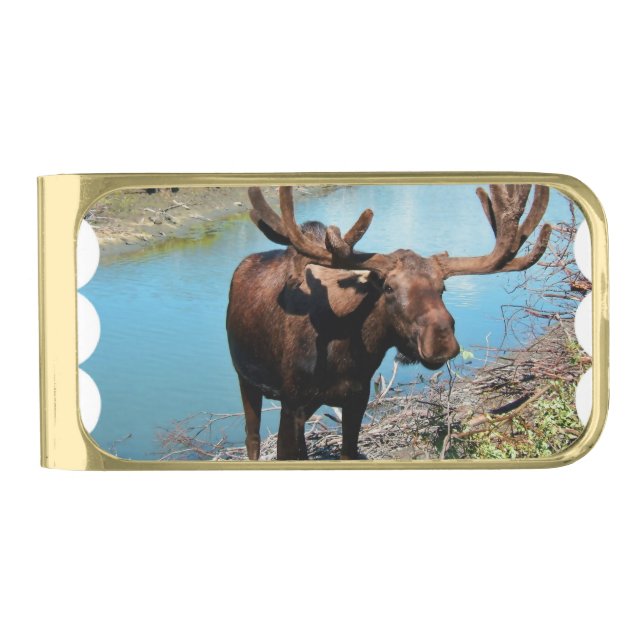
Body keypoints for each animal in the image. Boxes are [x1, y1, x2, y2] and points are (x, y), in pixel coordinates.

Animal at [226, 184, 551, 460]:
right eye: (389, 288)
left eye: (442, 288)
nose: (441, 339)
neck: (345, 351)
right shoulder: (291, 402)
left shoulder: (357, 397)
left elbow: (347, 453)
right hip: (246, 379)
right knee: (252, 440)